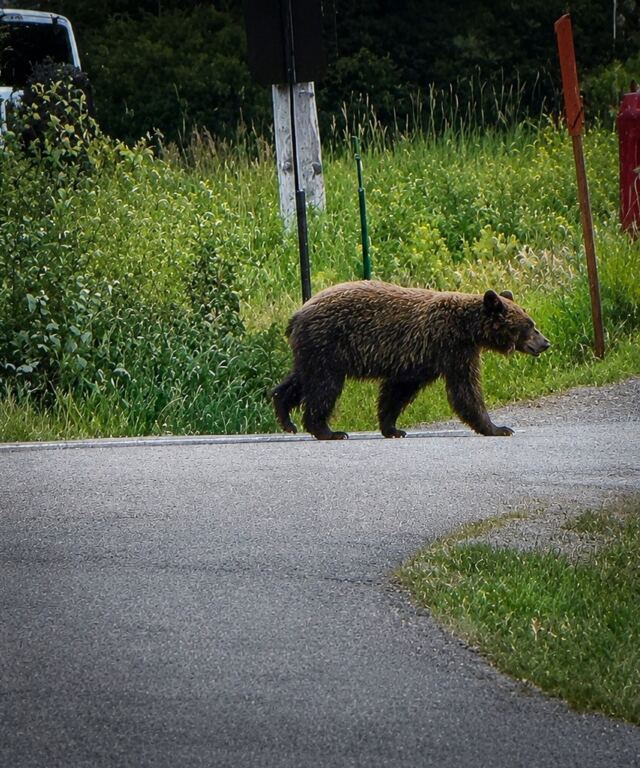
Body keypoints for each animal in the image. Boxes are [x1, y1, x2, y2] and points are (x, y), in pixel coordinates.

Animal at [271, 280, 550, 440]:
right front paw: (498, 427)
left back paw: (286, 416)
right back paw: (328, 430)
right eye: (530, 325)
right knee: (323, 387)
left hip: (314, 350)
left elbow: (398, 391)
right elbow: (465, 390)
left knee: (300, 379)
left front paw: (393, 428)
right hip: (329, 344)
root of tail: (297, 313)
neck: (467, 328)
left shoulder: (419, 359)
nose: (546, 342)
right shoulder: (451, 348)